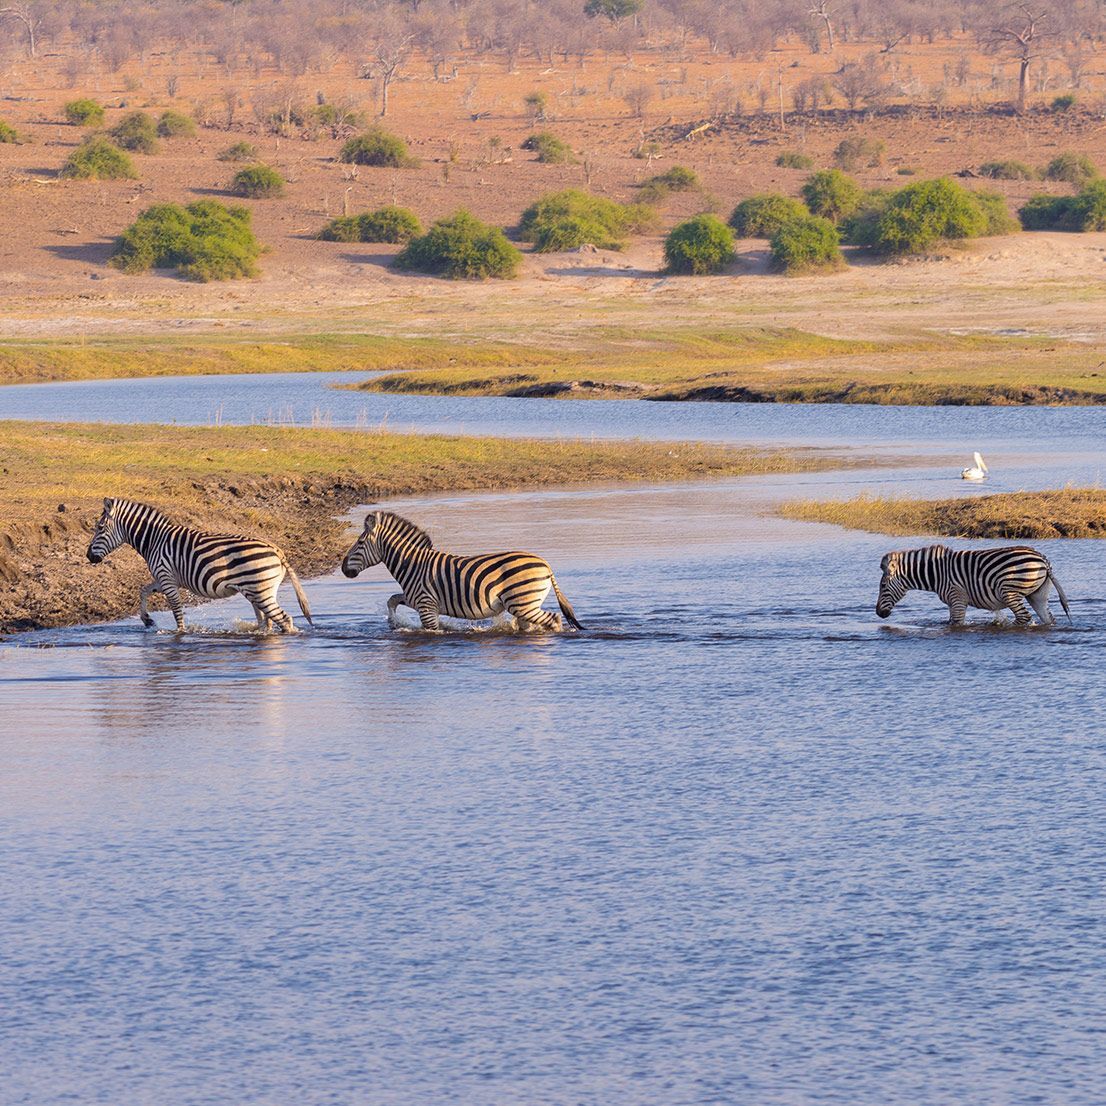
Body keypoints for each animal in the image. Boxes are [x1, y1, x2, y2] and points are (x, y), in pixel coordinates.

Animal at [86, 497, 313, 633]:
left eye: (99, 528)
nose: (88, 556)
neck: (155, 540)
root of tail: (277, 550)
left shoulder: (167, 578)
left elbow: (177, 611)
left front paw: (180, 633)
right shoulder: (165, 578)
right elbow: (143, 590)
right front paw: (147, 620)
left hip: (260, 591)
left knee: (285, 620)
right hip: (259, 592)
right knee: (267, 621)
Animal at [341, 510, 583, 632]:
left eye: (360, 543)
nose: (343, 569)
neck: (413, 564)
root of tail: (546, 564)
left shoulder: (426, 606)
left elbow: (432, 630)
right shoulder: (418, 599)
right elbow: (391, 600)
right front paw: (393, 623)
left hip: (523, 602)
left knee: (554, 619)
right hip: (525, 604)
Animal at [875, 544, 1071, 627]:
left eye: (883, 586)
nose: (878, 613)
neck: (937, 574)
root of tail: (1043, 559)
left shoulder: (957, 598)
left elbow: (956, 623)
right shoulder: (952, 602)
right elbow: (951, 621)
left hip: (1009, 592)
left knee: (1024, 617)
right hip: (1037, 595)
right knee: (1048, 618)